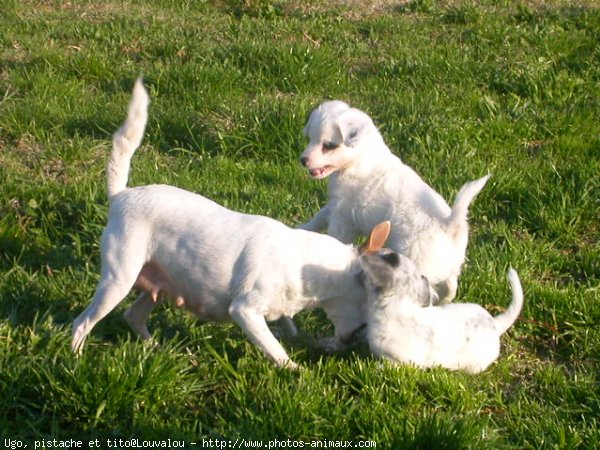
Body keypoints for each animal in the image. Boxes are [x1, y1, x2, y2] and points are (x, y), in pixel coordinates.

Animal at [71, 80, 394, 370]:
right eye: (365, 322)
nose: (352, 344)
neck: (307, 265)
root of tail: (120, 196)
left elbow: (284, 326)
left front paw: (292, 333)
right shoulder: (245, 311)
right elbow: (274, 349)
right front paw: (297, 371)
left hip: (158, 285)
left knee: (133, 316)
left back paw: (157, 349)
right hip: (119, 279)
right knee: (81, 323)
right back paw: (75, 360)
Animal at [298, 101, 490, 306]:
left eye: (328, 146)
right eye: (310, 139)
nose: (303, 160)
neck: (360, 158)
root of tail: (450, 225)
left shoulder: (343, 218)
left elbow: (335, 236)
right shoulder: (334, 205)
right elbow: (318, 218)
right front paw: (302, 228)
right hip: (449, 269)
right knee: (450, 288)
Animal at [358, 251, 524, 374]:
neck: (399, 303)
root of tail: (494, 324)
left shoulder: (403, 361)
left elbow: (388, 366)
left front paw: (374, 369)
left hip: (474, 366)